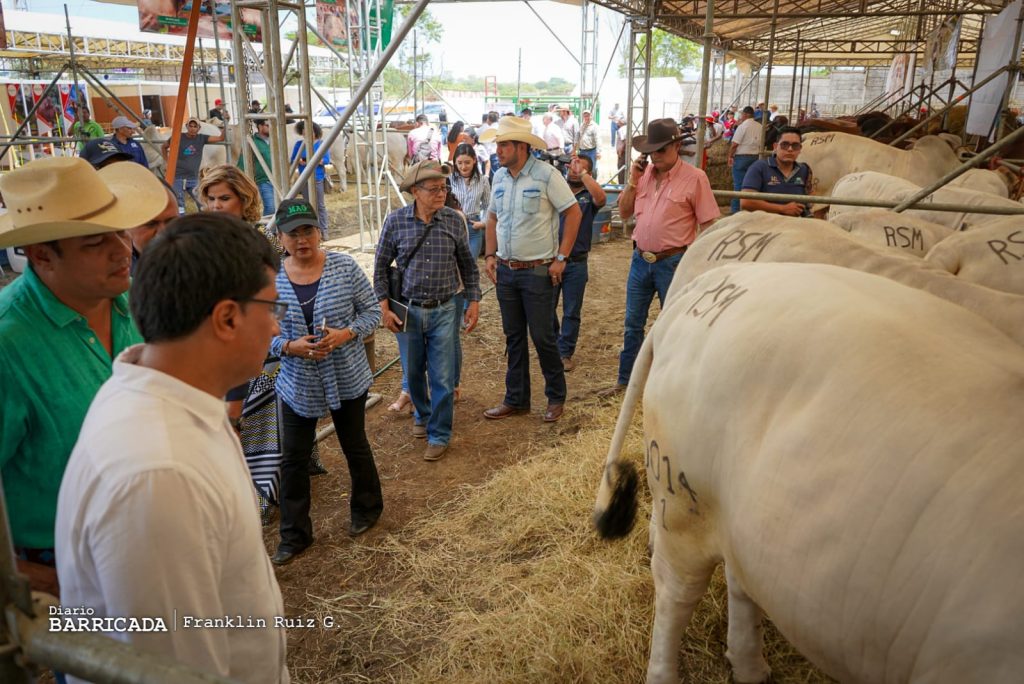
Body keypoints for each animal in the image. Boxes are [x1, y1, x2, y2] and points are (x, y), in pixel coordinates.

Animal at [593, 262, 1024, 684]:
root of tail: (713, 283)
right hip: (683, 507)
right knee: (675, 594)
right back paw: (668, 671)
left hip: (740, 516)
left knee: (739, 578)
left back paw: (750, 668)